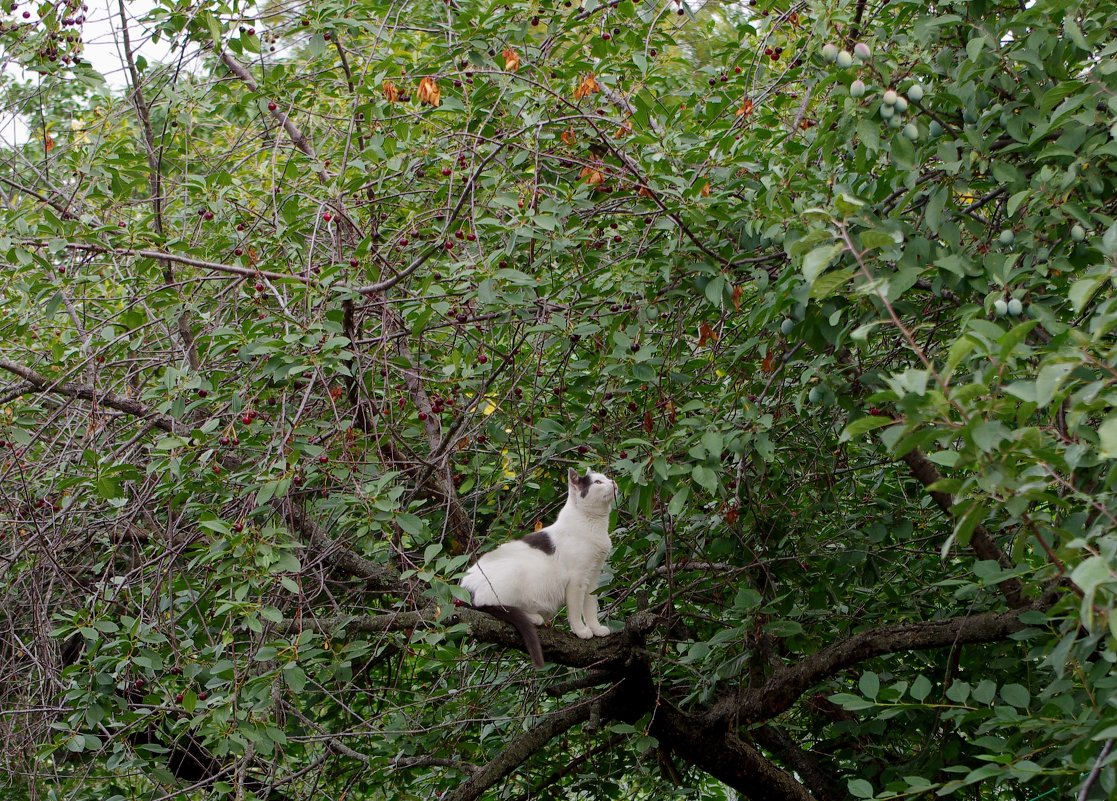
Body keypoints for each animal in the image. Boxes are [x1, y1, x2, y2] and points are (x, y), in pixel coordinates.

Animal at [462, 464, 621, 665]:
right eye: (598, 482)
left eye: (606, 478)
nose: (613, 482)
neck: (595, 524)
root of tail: (463, 585)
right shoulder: (576, 581)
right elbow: (576, 610)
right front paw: (581, 631)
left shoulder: (592, 578)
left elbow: (591, 607)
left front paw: (596, 629)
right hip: (514, 572)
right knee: (492, 604)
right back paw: (534, 617)